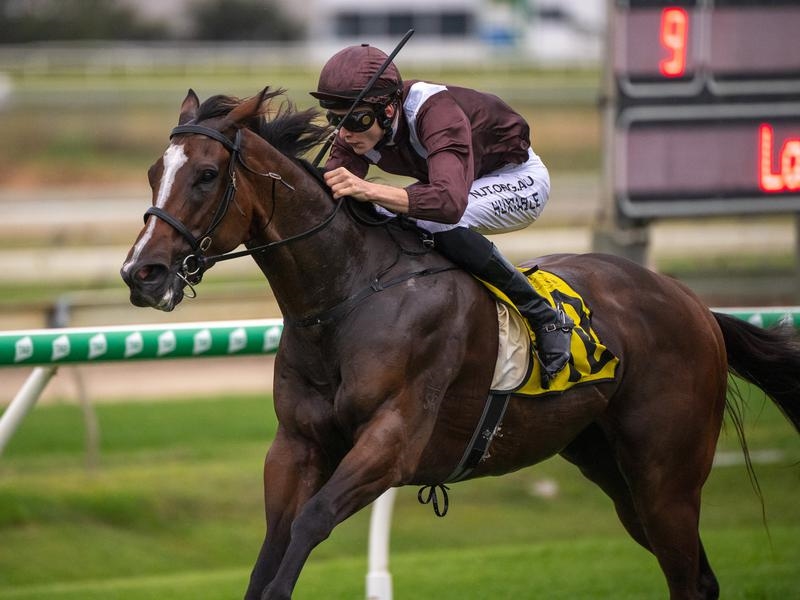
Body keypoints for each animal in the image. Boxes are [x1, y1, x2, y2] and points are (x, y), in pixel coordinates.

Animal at [120, 88, 800, 600]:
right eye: (154, 173)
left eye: (207, 175)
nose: (140, 274)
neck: (348, 294)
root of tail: (694, 304)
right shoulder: (296, 445)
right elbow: (271, 549)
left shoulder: (392, 441)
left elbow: (309, 526)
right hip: (614, 470)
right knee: (696, 578)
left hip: (667, 476)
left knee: (689, 577)